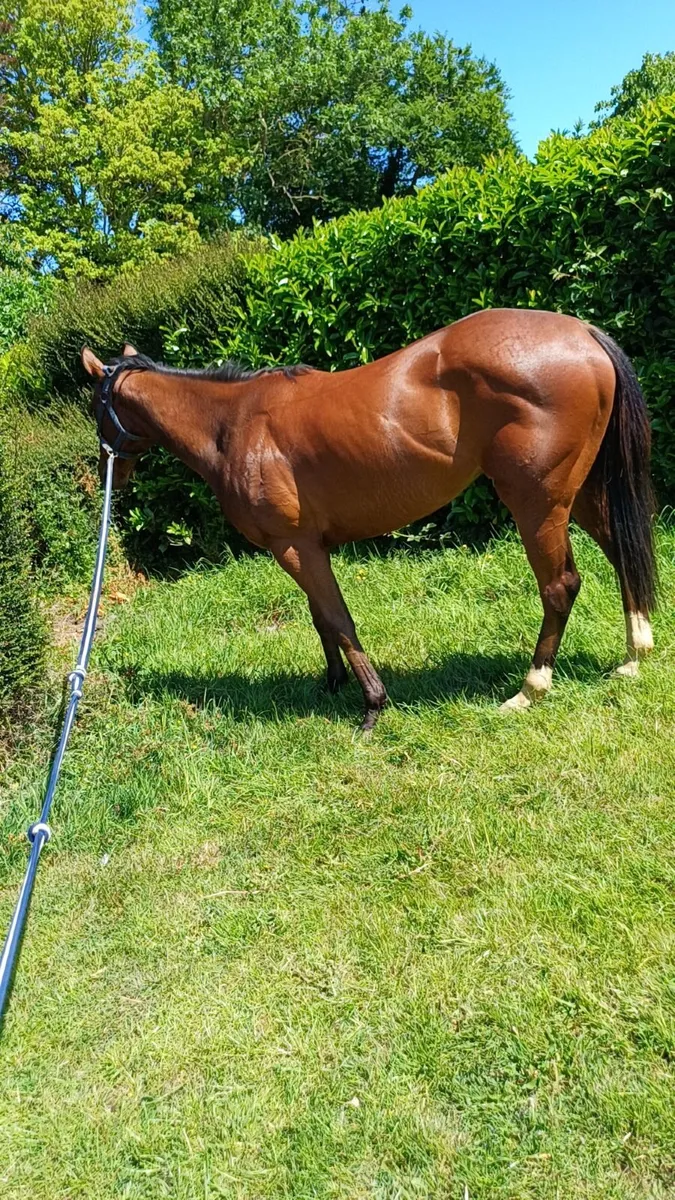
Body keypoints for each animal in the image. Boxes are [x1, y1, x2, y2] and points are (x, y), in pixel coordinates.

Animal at [82, 307, 656, 731]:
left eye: (94, 407)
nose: (111, 468)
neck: (233, 424)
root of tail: (581, 332)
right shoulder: (307, 546)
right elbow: (320, 617)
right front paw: (331, 683)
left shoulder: (293, 545)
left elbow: (338, 618)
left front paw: (372, 705)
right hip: (576, 494)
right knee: (620, 552)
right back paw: (633, 656)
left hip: (537, 502)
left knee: (561, 586)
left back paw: (530, 688)